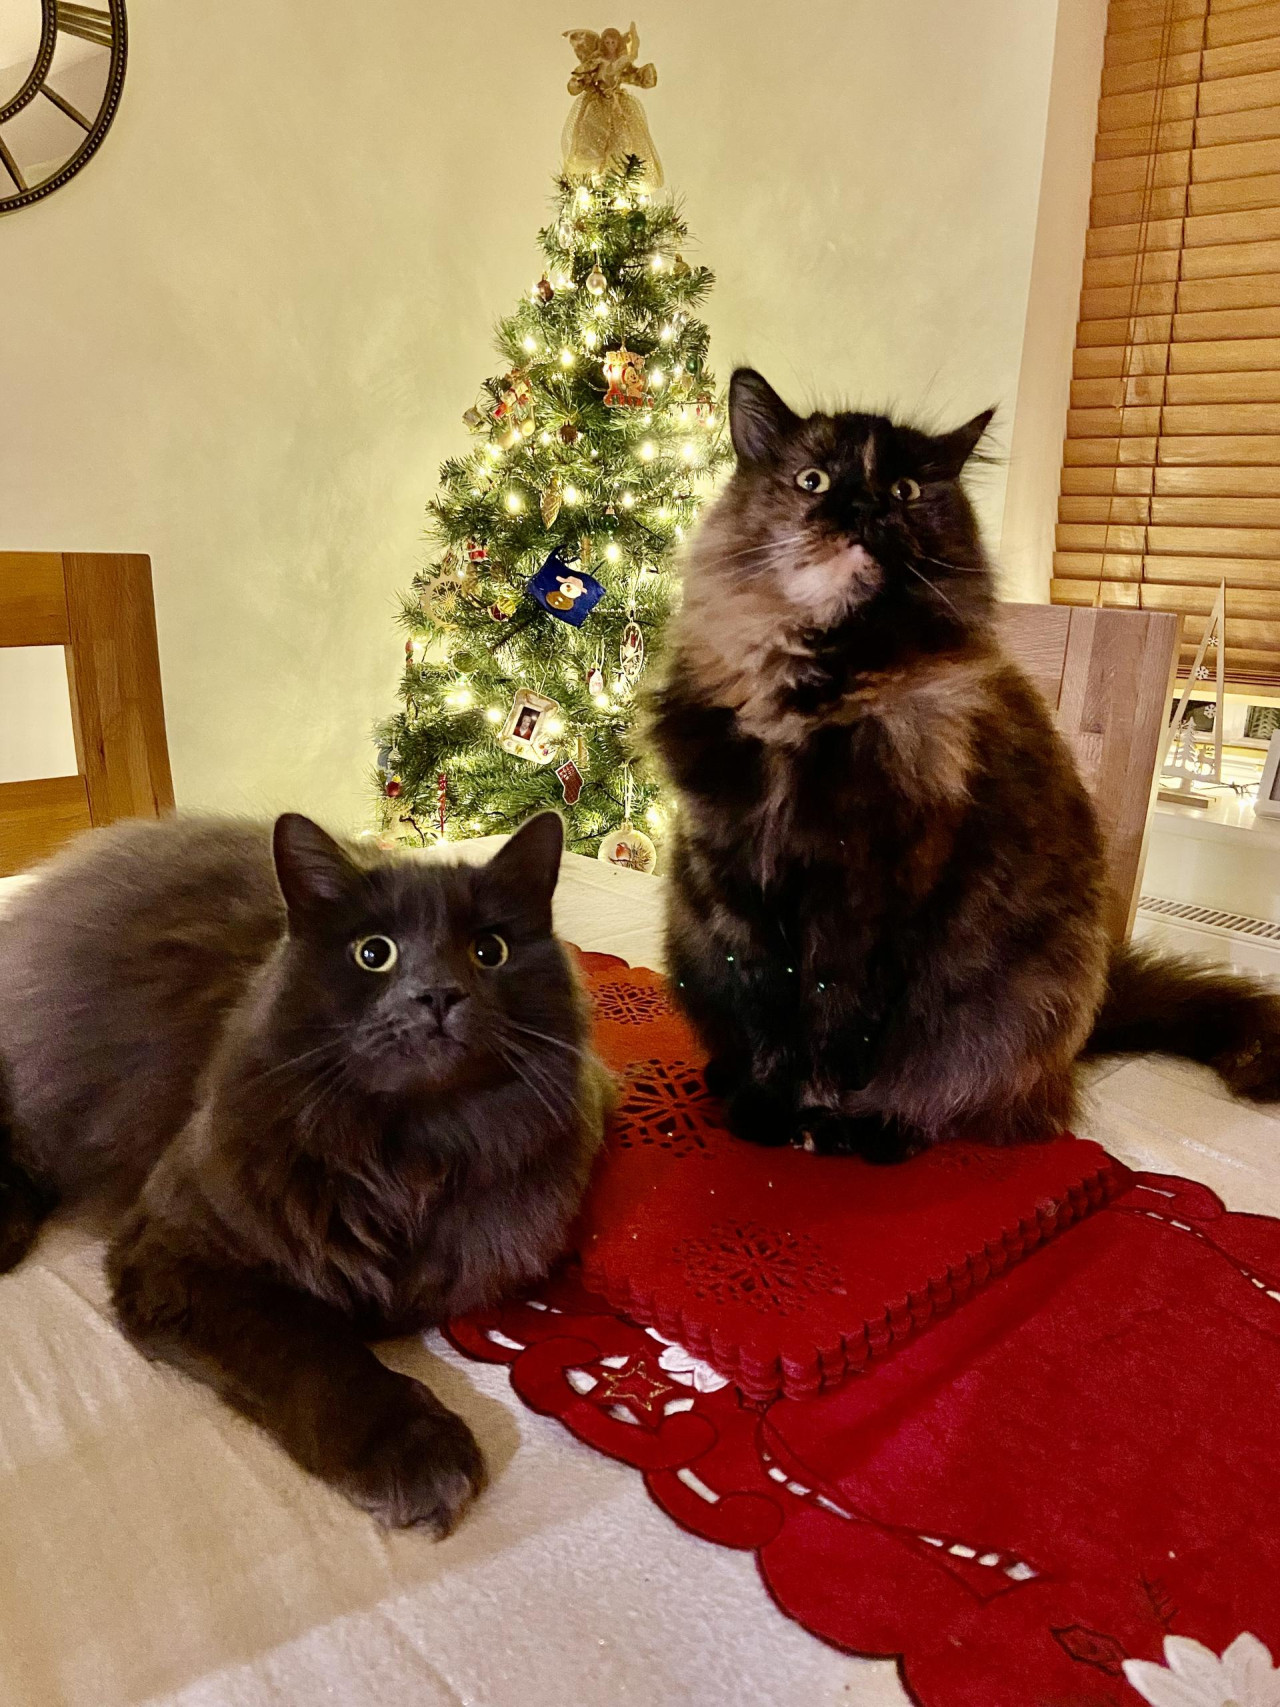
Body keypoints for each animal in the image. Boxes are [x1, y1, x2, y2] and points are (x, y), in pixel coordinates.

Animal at [0, 812, 610, 1536]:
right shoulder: (178, 1249)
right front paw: (411, 1451)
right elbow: (313, 1347)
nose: (436, 993)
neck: (409, 1153)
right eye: (373, 953)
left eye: (489, 950)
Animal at [651, 370, 1280, 1160]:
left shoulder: (872, 900)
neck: (819, 705)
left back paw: (880, 1132)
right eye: (812, 479)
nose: (861, 508)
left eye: (905, 490)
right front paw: (764, 1110)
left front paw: (820, 1119)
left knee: (956, 1097)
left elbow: (838, 1028)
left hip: (1009, 1012)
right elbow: (768, 1018)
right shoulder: (737, 889)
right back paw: (725, 1080)